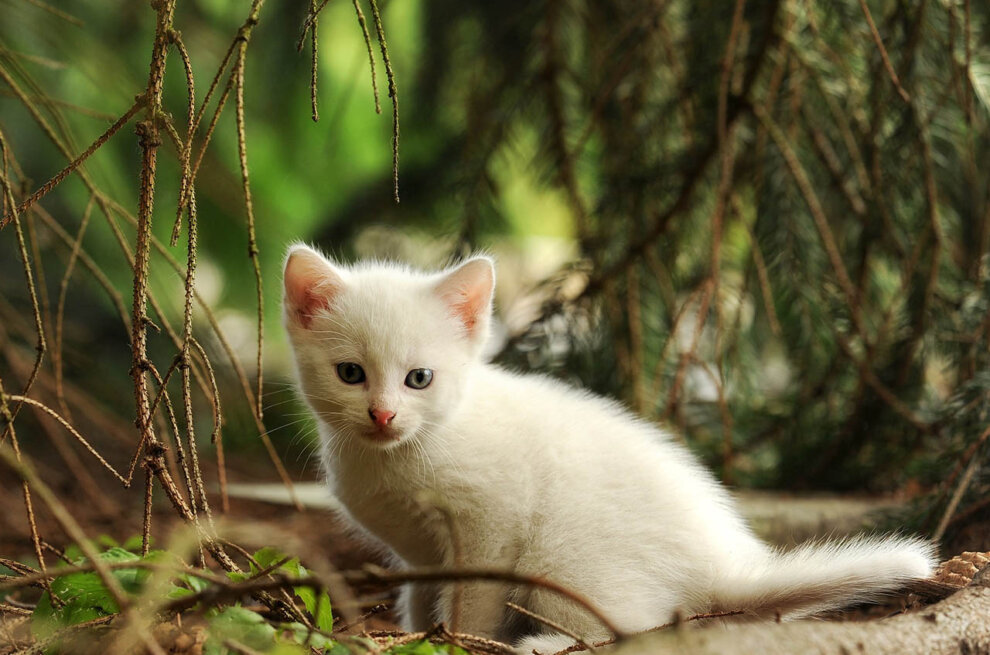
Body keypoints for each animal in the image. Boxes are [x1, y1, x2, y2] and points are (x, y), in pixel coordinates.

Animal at [284, 245, 936, 652]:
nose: (383, 413)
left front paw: (464, 640)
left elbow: (474, 600)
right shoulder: (419, 550)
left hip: (562, 558)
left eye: (419, 378)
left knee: (630, 627)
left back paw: (540, 644)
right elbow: (421, 595)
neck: (404, 453)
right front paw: (419, 633)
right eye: (350, 374)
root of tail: (723, 565)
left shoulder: (492, 525)